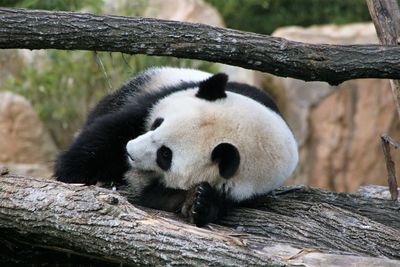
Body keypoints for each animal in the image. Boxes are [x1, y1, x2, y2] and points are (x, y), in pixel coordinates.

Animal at [54, 67, 296, 228]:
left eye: (165, 155)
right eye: (157, 123)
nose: (129, 151)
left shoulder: (244, 191)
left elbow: (159, 197)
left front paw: (198, 202)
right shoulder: (166, 94)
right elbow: (116, 128)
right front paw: (71, 170)